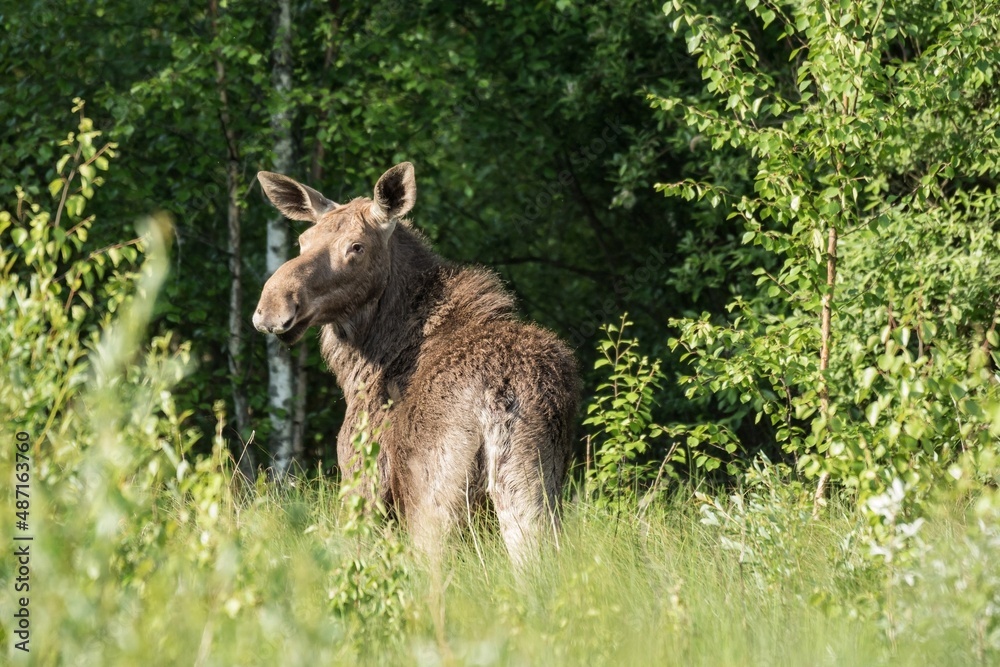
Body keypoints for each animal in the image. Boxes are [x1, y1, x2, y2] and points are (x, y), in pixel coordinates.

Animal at [253, 162, 579, 565]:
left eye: (356, 247)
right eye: (303, 240)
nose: (273, 307)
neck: (362, 363)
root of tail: (499, 394)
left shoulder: (362, 476)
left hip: (434, 503)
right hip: (532, 484)